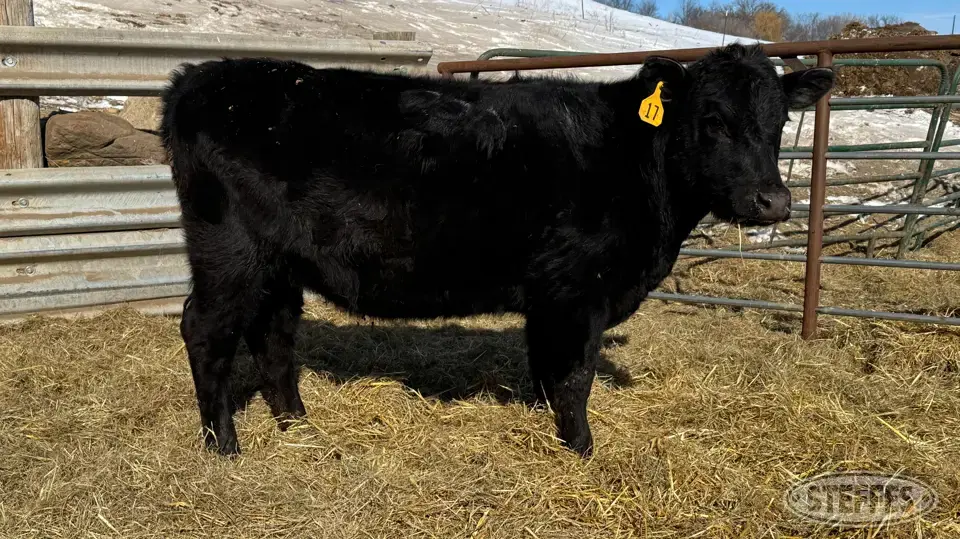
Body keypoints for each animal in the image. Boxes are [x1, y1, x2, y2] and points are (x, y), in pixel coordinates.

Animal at [160, 43, 834, 457]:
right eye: (713, 119)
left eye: (779, 122)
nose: (772, 201)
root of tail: (198, 77)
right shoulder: (578, 292)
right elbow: (575, 375)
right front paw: (582, 449)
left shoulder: (550, 297)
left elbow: (544, 368)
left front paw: (544, 427)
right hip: (230, 251)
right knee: (206, 329)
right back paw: (224, 444)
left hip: (279, 263)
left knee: (273, 334)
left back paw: (297, 425)